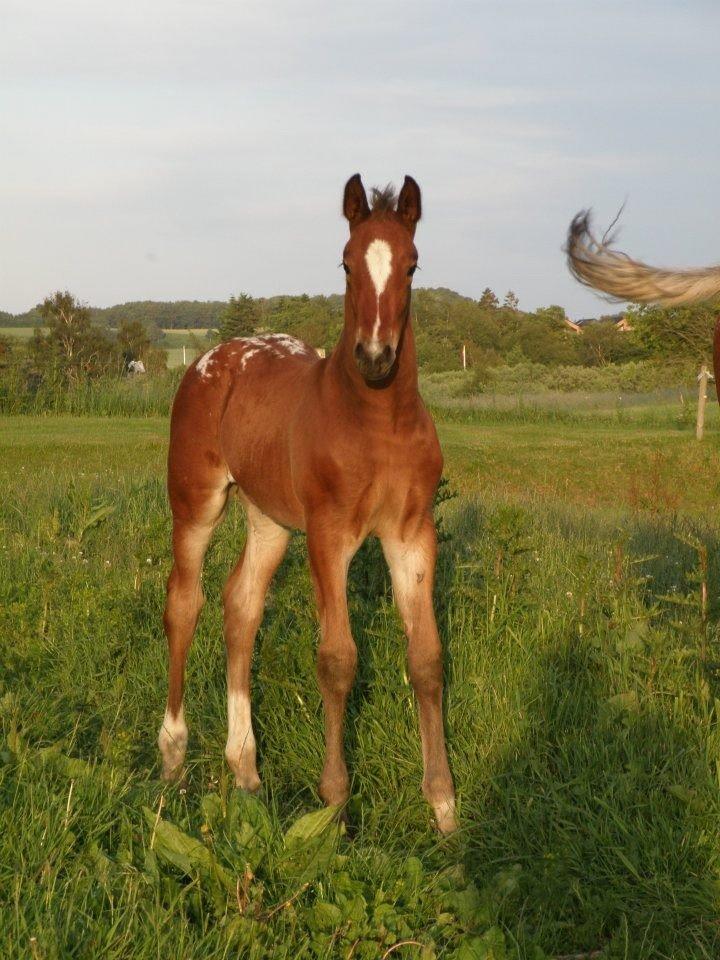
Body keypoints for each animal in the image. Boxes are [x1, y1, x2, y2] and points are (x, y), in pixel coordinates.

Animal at [160, 172, 458, 832]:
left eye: (413, 265)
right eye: (345, 262)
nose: (375, 357)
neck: (377, 423)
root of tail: (212, 357)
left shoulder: (412, 534)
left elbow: (426, 658)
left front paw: (445, 806)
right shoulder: (329, 535)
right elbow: (338, 660)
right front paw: (336, 803)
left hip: (270, 520)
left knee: (241, 605)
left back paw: (245, 769)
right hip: (196, 500)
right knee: (184, 603)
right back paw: (172, 756)